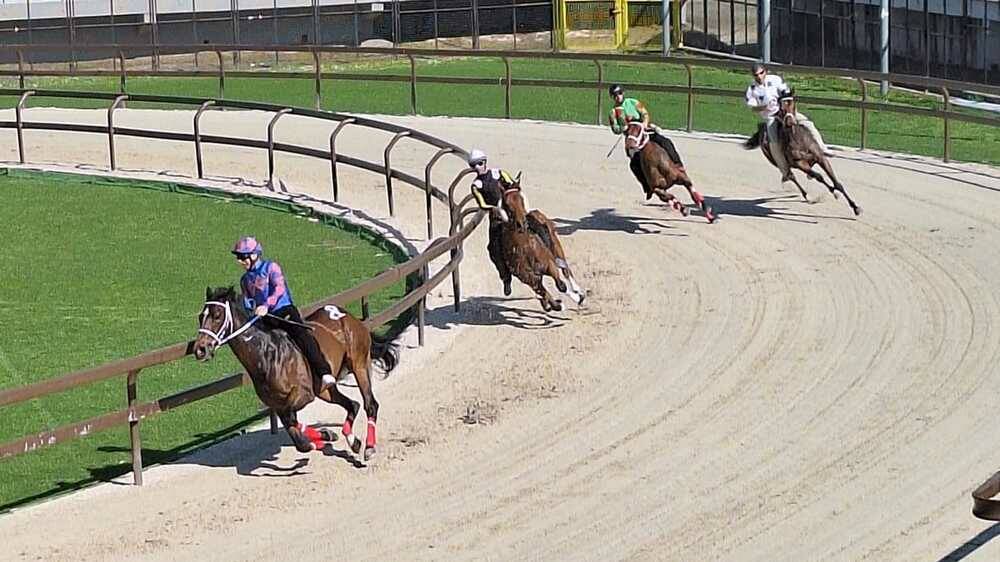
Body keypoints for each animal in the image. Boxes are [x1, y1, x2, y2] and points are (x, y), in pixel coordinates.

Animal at [191, 286, 398, 462]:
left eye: (217, 315)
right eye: (201, 316)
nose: (200, 349)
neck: (266, 355)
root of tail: (346, 315)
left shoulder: (303, 395)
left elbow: (294, 422)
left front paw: (322, 436)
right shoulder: (277, 404)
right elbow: (299, 439)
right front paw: (325, 435)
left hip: (359, 365)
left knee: (370, 404)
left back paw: (368, 447)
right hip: (324, 390)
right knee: (352, 404)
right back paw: (351, 440)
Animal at [498, 172, 584, 310]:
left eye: (521, 199)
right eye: (506, 203)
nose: (522, 224)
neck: (525, 248)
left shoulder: (550, 265)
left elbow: (561, 286)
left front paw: (576, 298)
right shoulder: (529, 279)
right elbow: (544, 292)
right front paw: (555, 304)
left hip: (556, 246)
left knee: (566, 271)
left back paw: (578, 292)